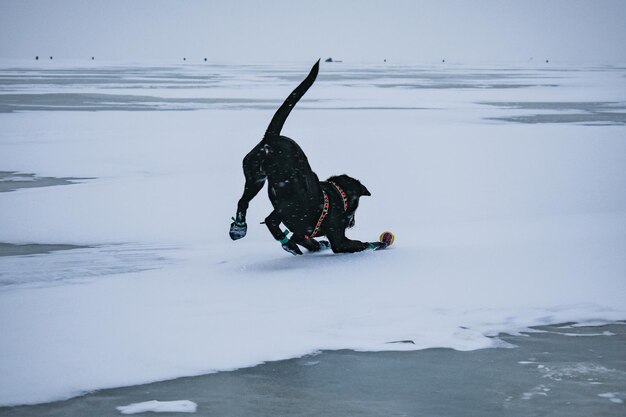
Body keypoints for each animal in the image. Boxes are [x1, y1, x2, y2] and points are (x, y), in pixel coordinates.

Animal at [229, 58, 386, 254]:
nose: (353, 223)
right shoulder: (339, 239)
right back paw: (287, 245)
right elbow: (358, 244)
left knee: (243, 202)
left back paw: (239, 230)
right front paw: (378, 244)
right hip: (292, 196)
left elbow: (307, 239)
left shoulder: (302, 232)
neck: (338, 194)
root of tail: (271, 139)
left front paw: (317, 245)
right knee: (270, 220)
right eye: (355, 208)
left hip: (255, 178)